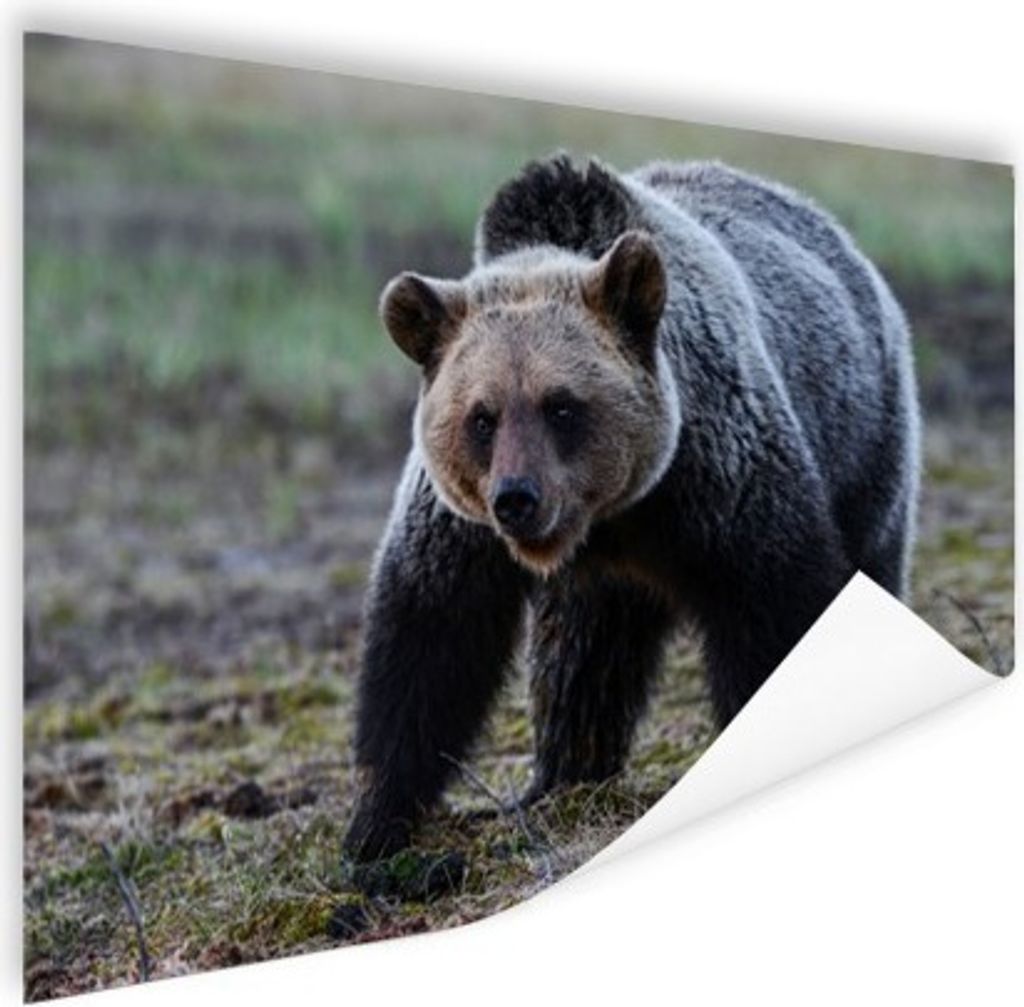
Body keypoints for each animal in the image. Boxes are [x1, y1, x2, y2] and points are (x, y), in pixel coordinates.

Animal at [342, 154, 920, 862]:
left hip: (865, 445)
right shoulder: (460, 529)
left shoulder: (720, 482)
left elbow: (776, 607)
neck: (608, 518)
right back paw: (563, 779)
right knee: (581, 663)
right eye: (482, 416)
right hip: (600, 592)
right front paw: (377, 822)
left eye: (562, 405)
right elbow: (429, 641)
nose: (517, 500)